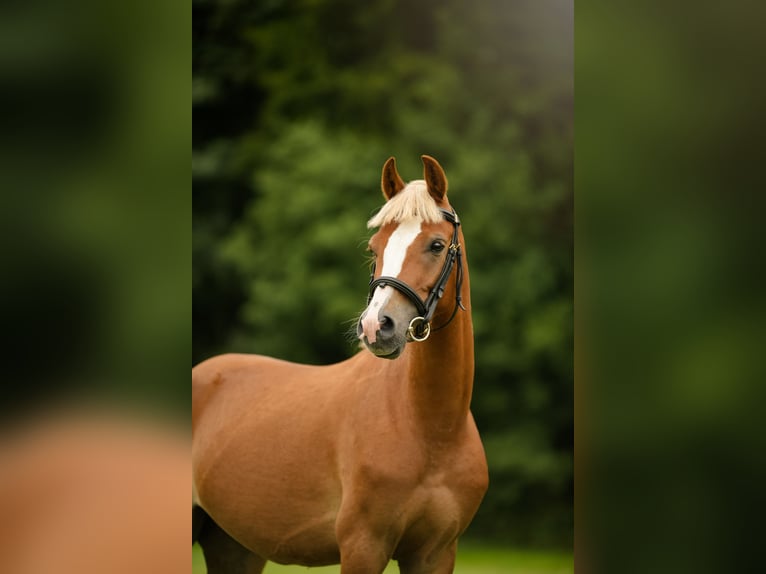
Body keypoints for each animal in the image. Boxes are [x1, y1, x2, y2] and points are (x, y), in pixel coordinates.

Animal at [192, 155, 488, 573]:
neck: (431, 428)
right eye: (374, 247)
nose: (377, 326)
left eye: (436, 245)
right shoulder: (363, 547)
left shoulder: (436, 554)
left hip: (233, 547)